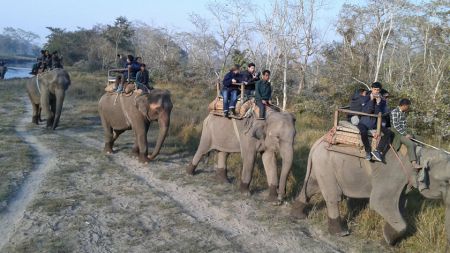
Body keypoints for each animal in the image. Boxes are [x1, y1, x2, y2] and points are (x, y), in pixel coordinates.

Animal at [290, 137, 450, 246]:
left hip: (321, 165)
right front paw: (385, 243)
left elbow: (400, 204)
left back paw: (298, 215)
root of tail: (317, 142)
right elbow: (380, 202)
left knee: (311, 187)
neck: (419, 153)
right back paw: (341, 233)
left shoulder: (401, 182)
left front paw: (387, 240)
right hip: (326, 165)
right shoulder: (393, 175)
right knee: (333, 197)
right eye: (447, 181)